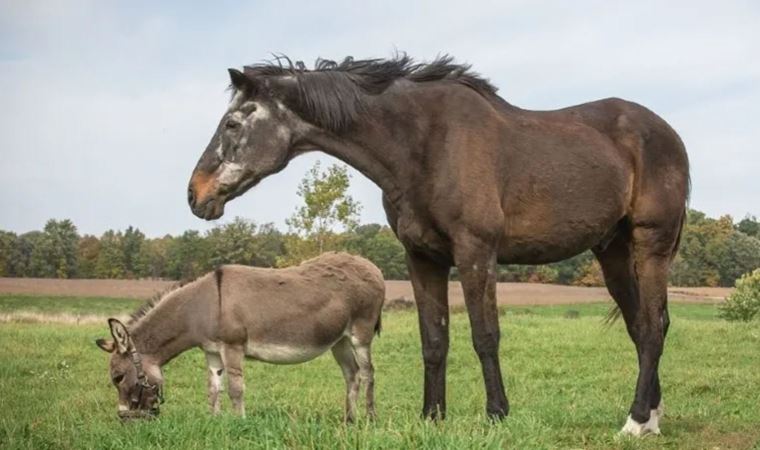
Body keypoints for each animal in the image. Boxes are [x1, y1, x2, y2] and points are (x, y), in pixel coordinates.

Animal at [96, 251, 386, 420]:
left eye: (117, 377)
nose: (123, 418)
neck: (200, 307)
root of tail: (373, 267)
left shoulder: (232, 347)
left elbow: (236, 389)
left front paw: (239, 423)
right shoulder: (212, 351)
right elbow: (213, 389)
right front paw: (214, 422)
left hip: (360, 334)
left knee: (368, 373)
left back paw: (370, 420)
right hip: (339, 341)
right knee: (352, 374)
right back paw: (349, 420)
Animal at [189, 55, 688, 436]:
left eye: (232, 122)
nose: (195, 194)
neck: (425, 144)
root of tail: (666, 133)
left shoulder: (476, 253)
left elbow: (485, 336)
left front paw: (497, 414)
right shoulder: (422, 258)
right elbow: (433, 339)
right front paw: (431, 416)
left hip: (651, 244)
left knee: (652, 326)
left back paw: (634, 422)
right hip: (613, 251)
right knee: (642, 326)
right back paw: (652, 417)